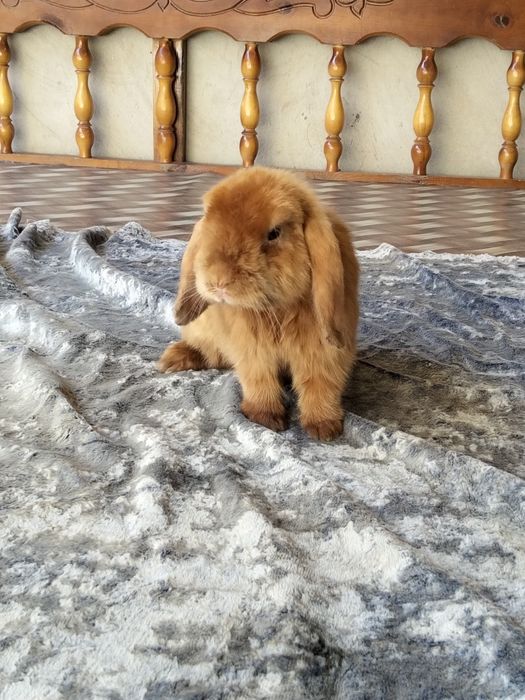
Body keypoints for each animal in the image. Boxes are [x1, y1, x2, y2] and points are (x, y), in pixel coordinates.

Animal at [158, 166, 359, 441]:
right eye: (209, 223)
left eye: (274, 233)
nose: (219, 281)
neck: (276, 310)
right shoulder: (251, 351)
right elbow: (258, 378)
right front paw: (265, 418)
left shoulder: (323, 352)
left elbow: (320, 383)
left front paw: (324, 428)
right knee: (209, 353)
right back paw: (175, 359)